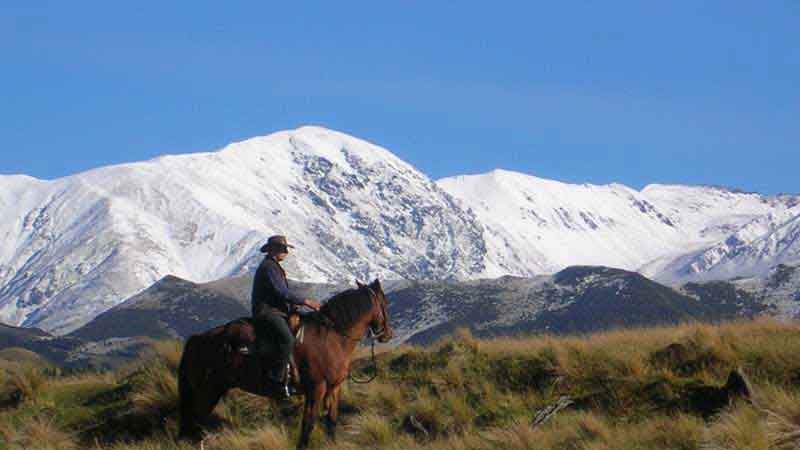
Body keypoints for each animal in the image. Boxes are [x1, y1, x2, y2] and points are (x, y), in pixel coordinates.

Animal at [180, 280, 396, 448]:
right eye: (385, 302)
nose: (388, 334)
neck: (332, 338)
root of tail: (196, 339)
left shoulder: (333, 388)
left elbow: (332, 420)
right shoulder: (316, 388)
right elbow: (308, 424)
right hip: (207, 392)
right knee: (195, 425)